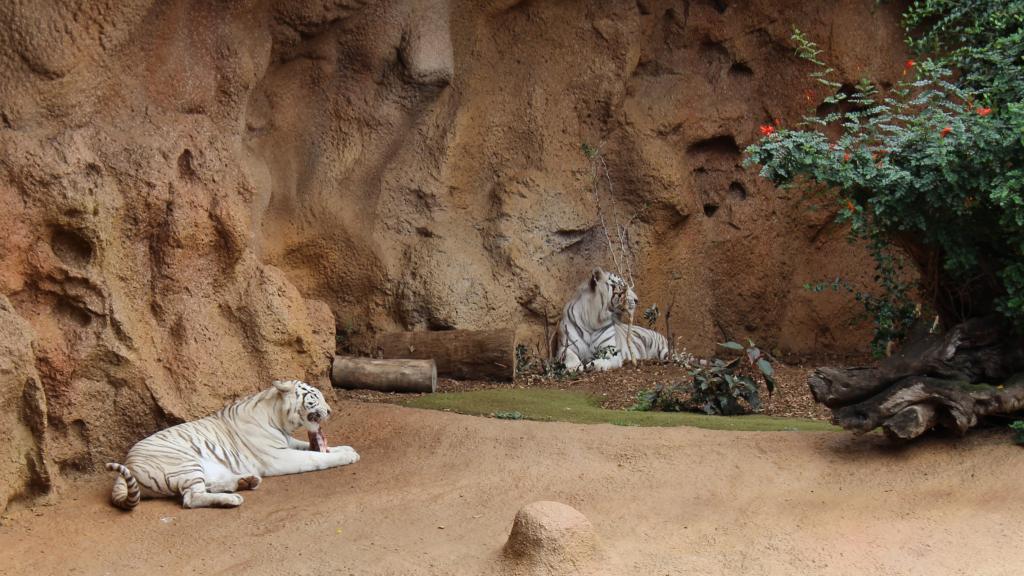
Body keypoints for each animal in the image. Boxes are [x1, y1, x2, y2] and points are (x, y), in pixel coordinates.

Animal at [105, 379, 359, 510]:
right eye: (314, 397)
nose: (330, 411)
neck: (278, 417)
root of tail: (128, 463)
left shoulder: (288, 442)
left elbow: (312, 447)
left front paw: (347, 449)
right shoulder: (278, 457)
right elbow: (316, 457)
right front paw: (346, 456)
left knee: (206, 486)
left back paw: (246, 481)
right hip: (184, 463)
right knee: (191, 498)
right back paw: (233, 499)